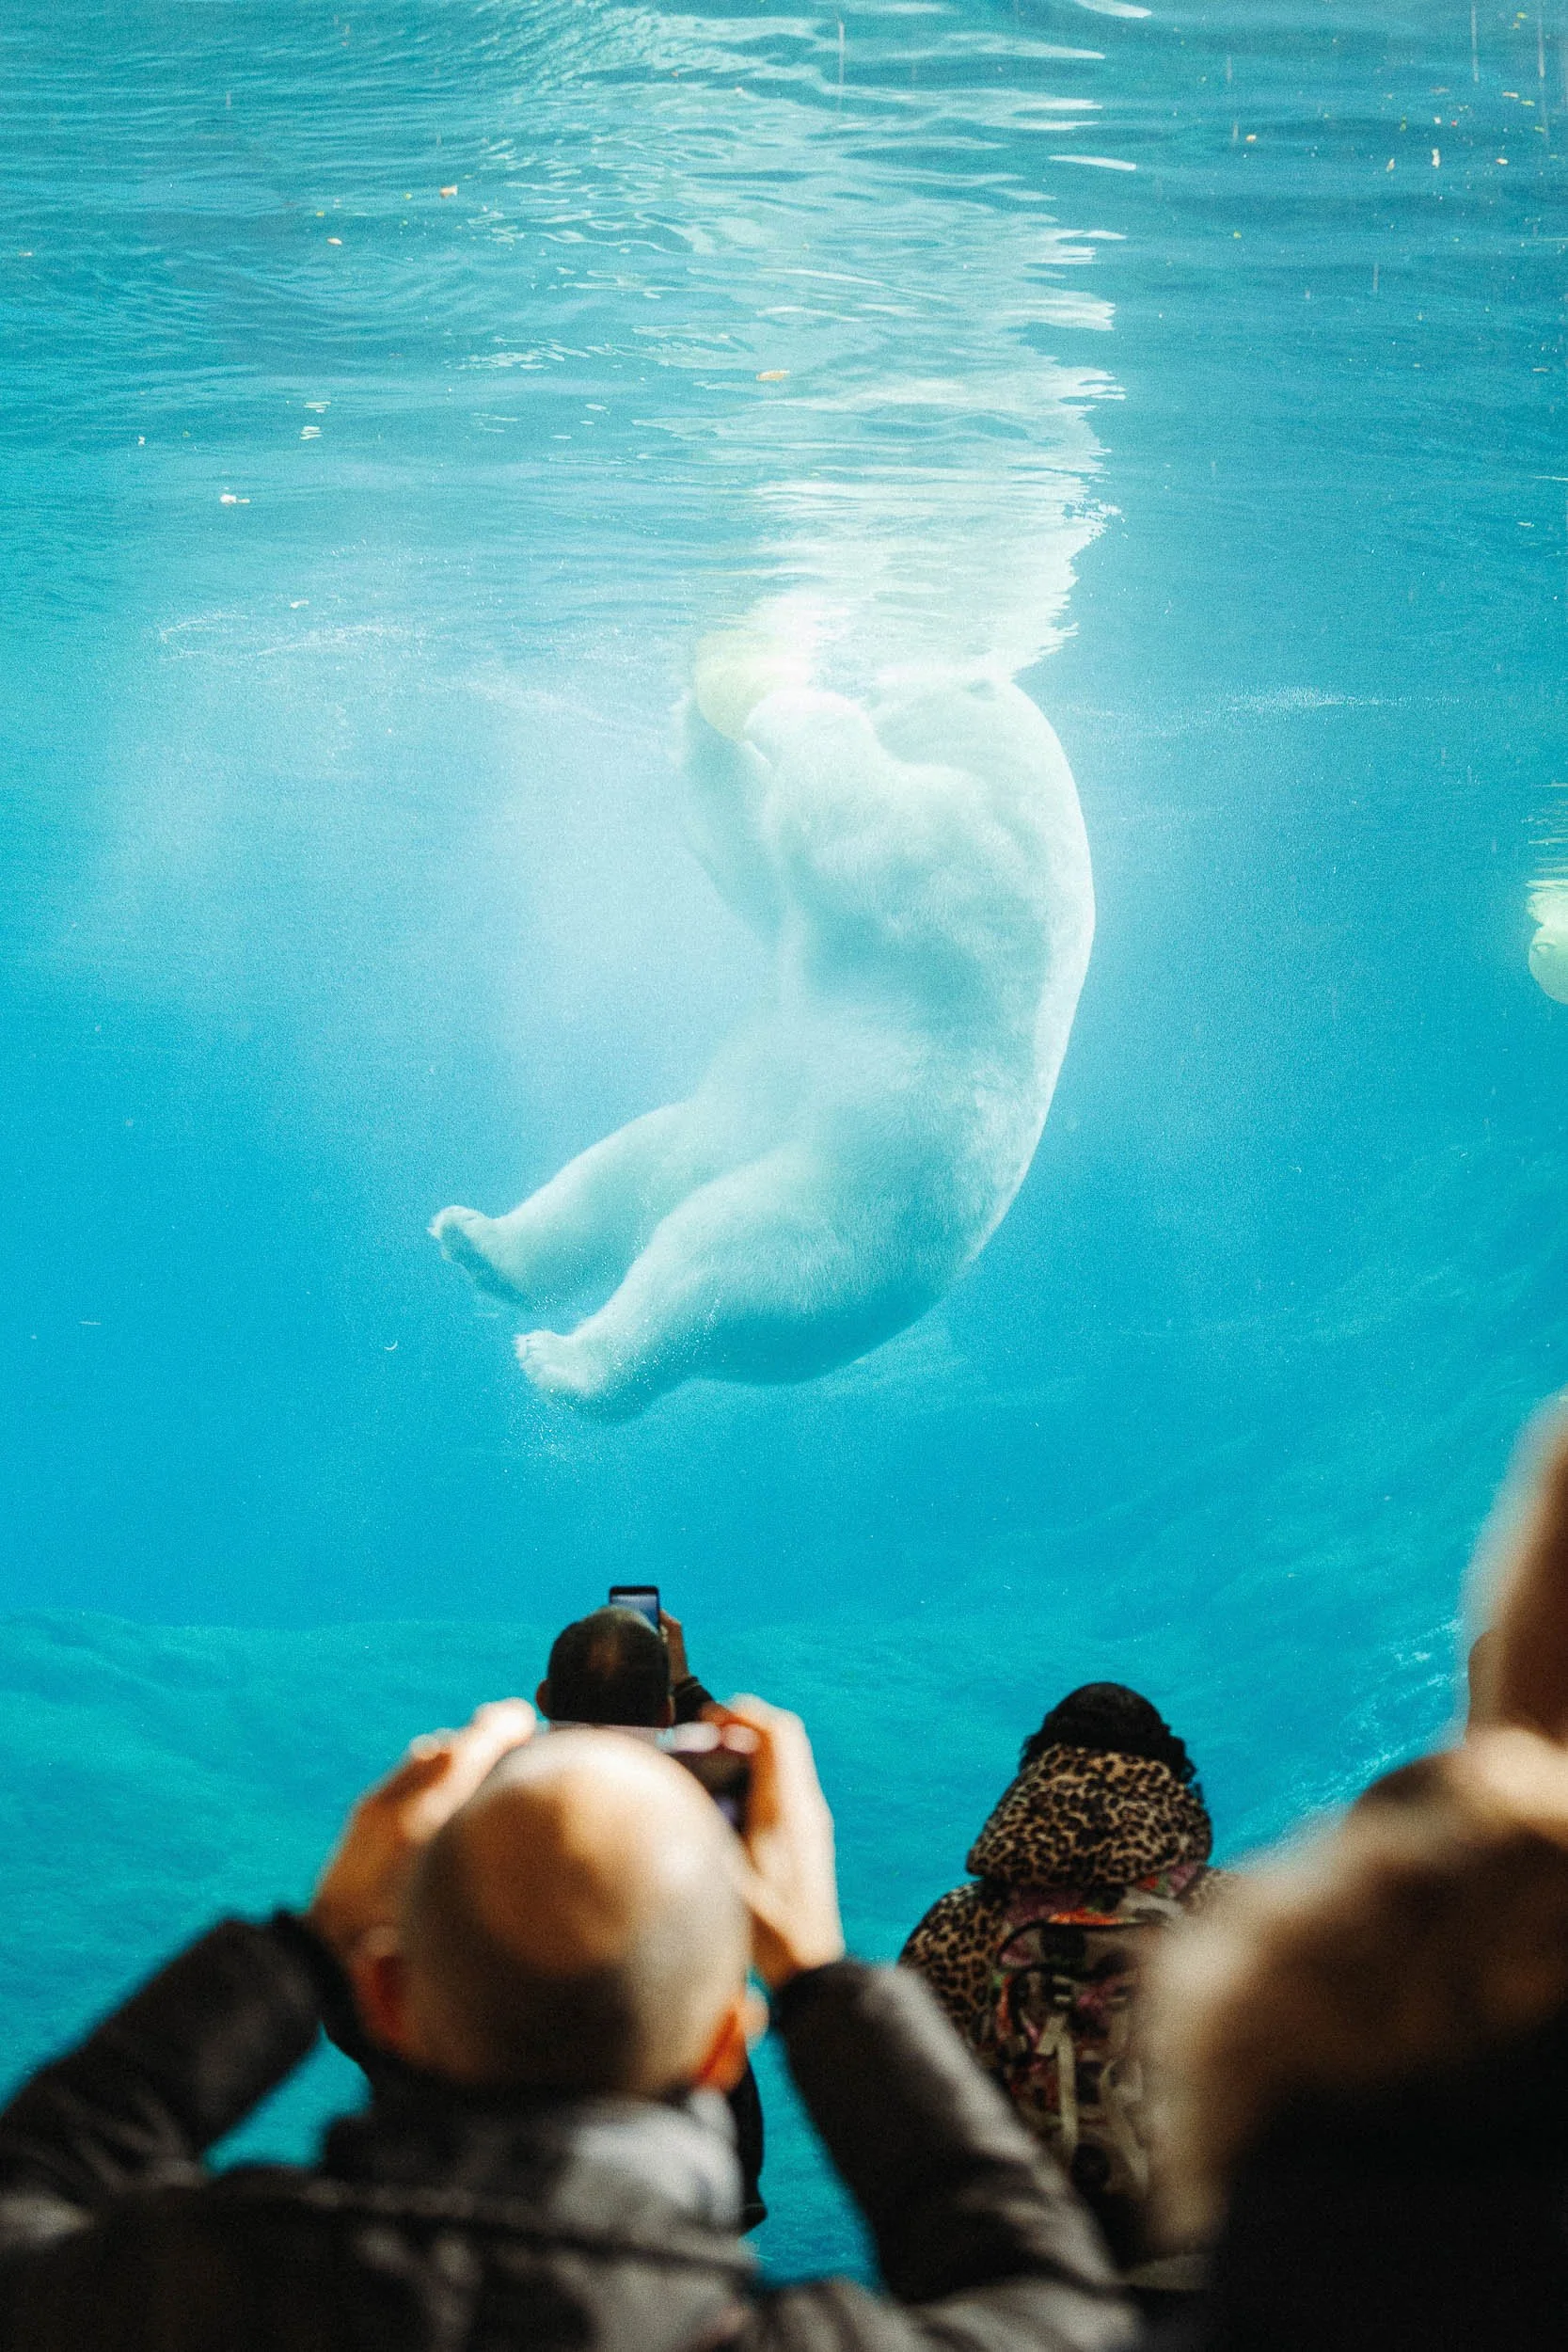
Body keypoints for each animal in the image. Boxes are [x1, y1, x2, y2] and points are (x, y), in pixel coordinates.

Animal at [431, 638, 1094, 1418]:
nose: (870, 678)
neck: (1020, 774)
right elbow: (753, 857)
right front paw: (700, 704)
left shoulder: (980, 847)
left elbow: (857, 822)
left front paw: (784, 691)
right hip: (715, 1141)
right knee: (611, 1177)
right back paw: (481, 1245)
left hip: (834, 1220)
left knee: (710, 1267)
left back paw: (563, 1362)